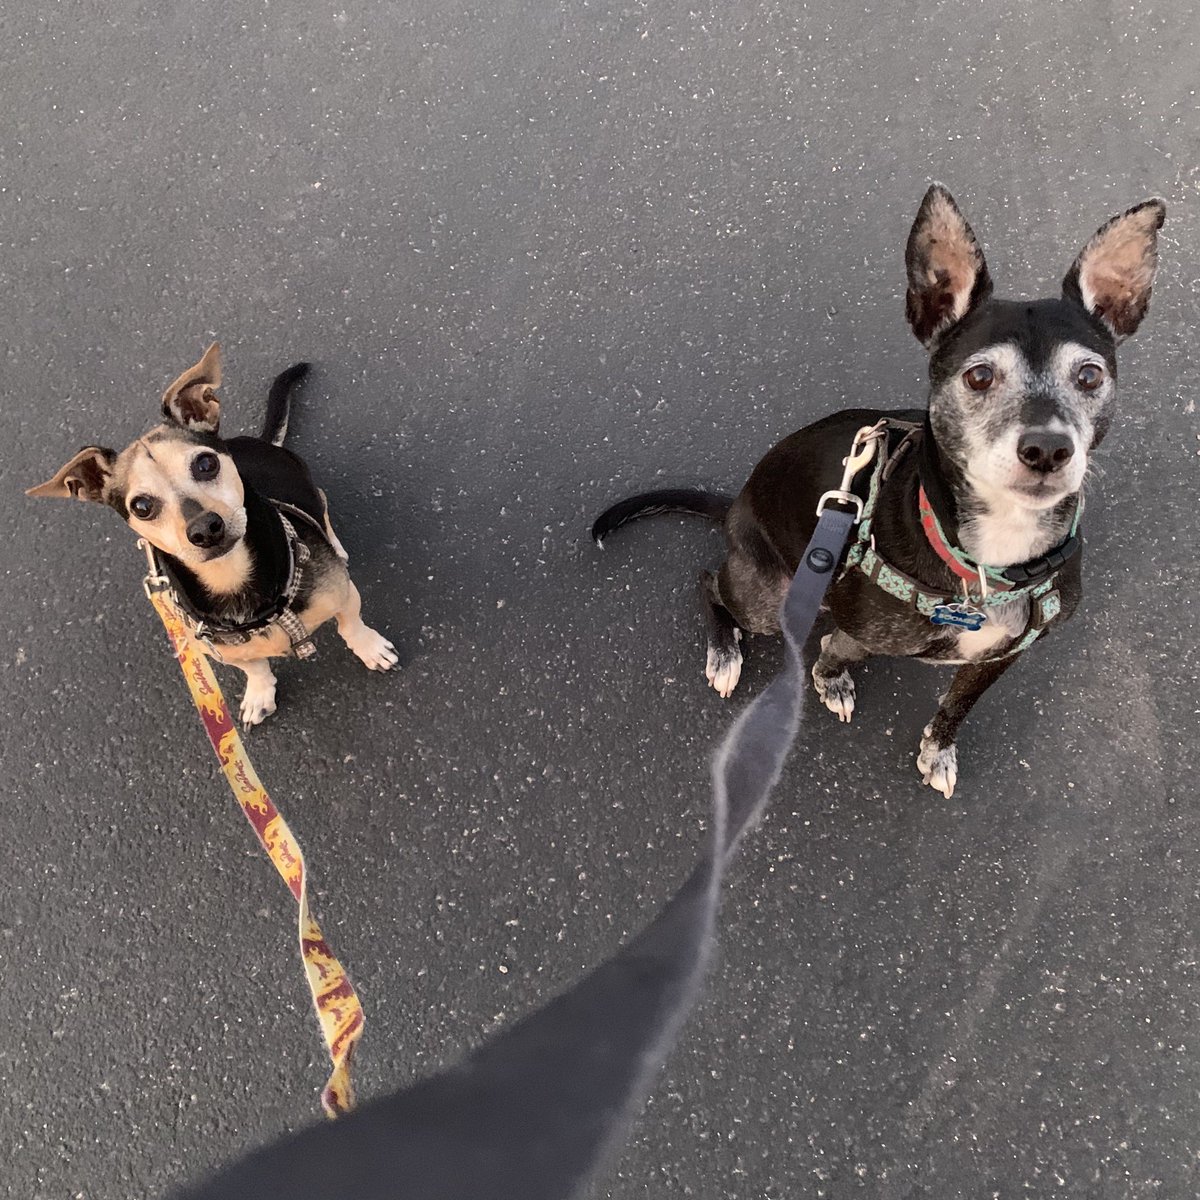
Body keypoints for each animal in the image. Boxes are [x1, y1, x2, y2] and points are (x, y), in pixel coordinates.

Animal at [28, 343, 396, 724]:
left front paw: (370, 649)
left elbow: (351, 626)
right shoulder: (220, 651)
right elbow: (255, 668)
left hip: (307, 485)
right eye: (142, 506)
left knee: (321, 503)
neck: (234, 582)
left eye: (206, 463)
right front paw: (259, 693)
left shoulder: (344, 597)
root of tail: (261, 442)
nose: (205, 528)